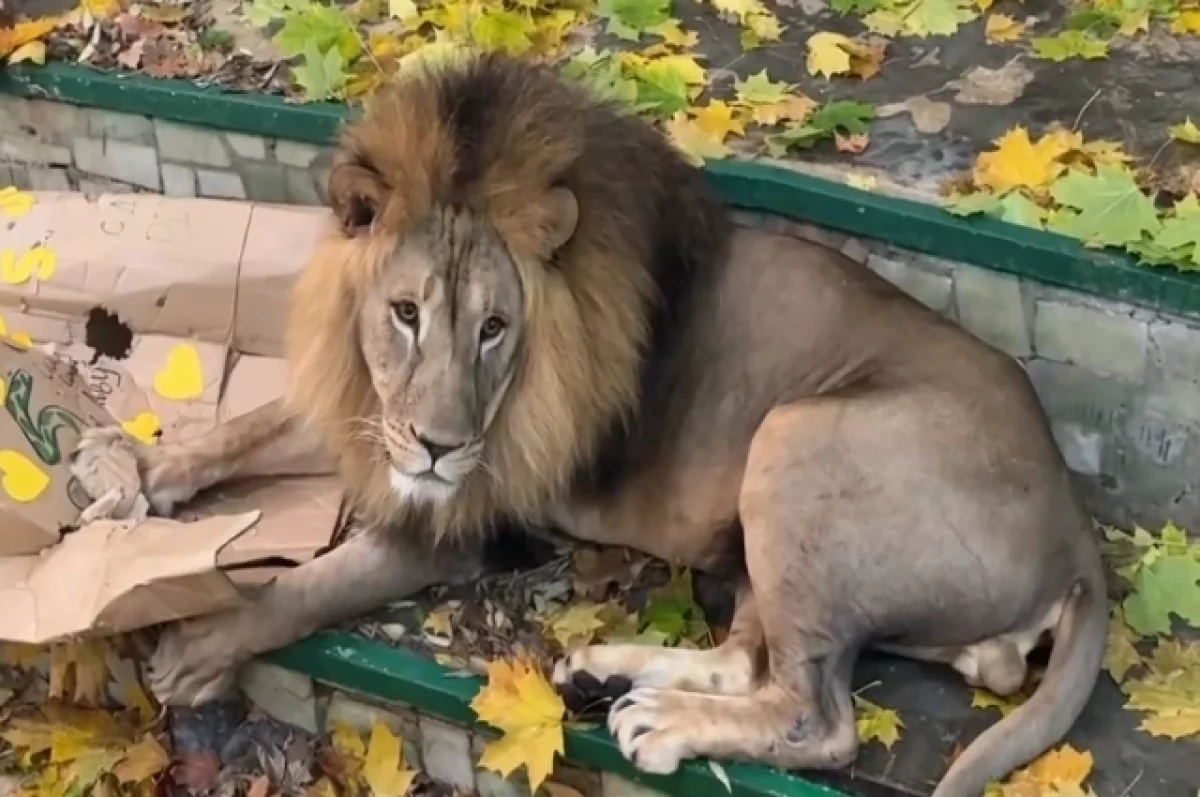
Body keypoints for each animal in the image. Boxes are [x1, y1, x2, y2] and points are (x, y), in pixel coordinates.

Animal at [71, 52, 1106, 797]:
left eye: (494, 327)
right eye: (405, 313)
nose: (441, 445)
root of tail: (1078, 528)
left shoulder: (466, 520)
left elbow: (307, 585)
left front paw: (200, 643)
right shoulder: (372, 412)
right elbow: (251, 427)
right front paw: (134, 468)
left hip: (798, 439)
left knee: (820, 714)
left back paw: (661, 722)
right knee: (753, 656)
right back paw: (606, 675)